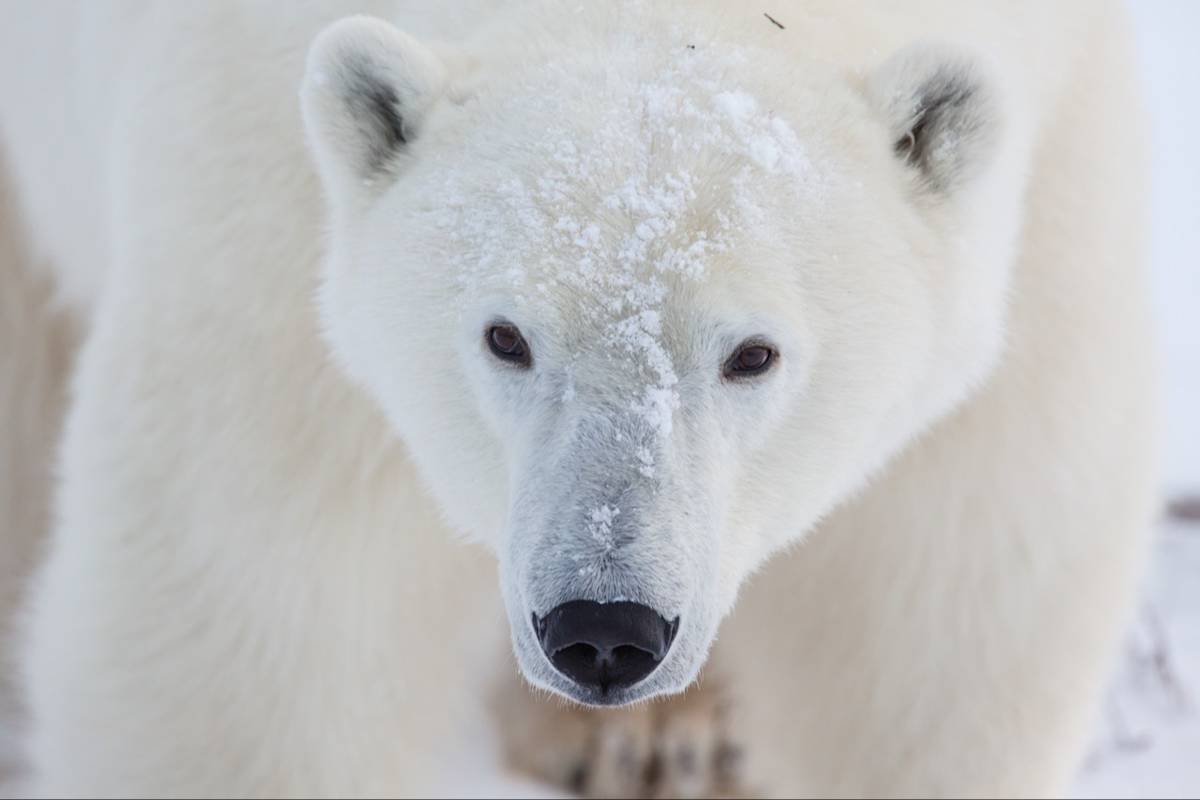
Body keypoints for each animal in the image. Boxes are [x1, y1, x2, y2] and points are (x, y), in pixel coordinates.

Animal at [0, 0, 1156, 796]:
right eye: (505, 337)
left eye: (753, 354)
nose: (605, 627)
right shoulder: (260, 230)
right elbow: (248, 624)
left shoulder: (1055, 162)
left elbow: (937, 606)